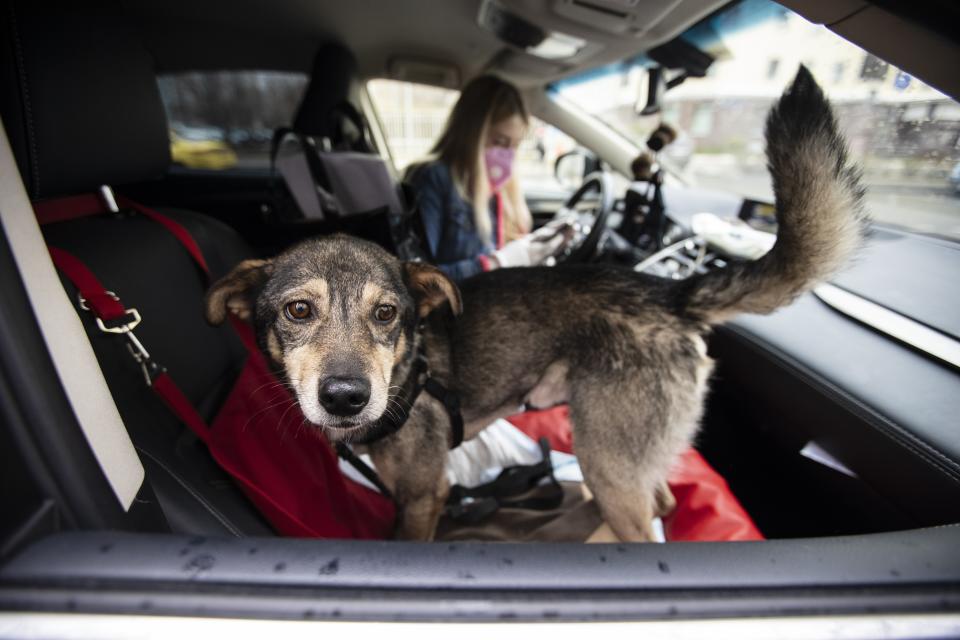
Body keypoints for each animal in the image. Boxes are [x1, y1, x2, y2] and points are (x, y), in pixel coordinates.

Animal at [206, 67, 868, 540]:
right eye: (298, 311)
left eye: (386, 314)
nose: (346, 397)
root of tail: (667, 290)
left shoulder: (422, 496)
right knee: (662, 499)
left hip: (608, 458)